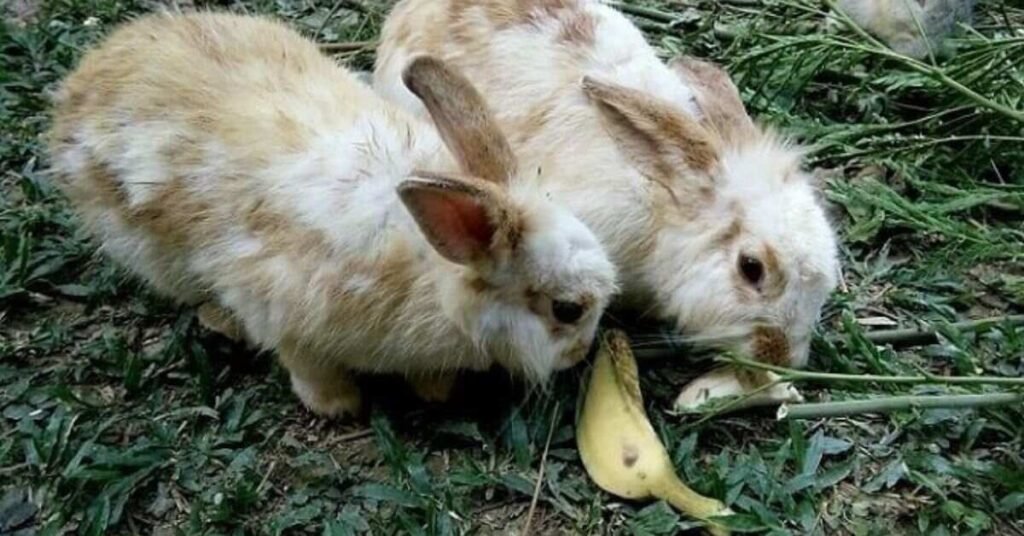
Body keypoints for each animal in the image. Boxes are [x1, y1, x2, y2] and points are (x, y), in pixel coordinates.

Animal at [48, 12, 617, 417]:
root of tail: (81, 84)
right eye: (567, 310)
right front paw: (339, 407)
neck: (431, 267)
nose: (581, 354)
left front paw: (435, 391)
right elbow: (306, 368)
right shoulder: (280, 314)